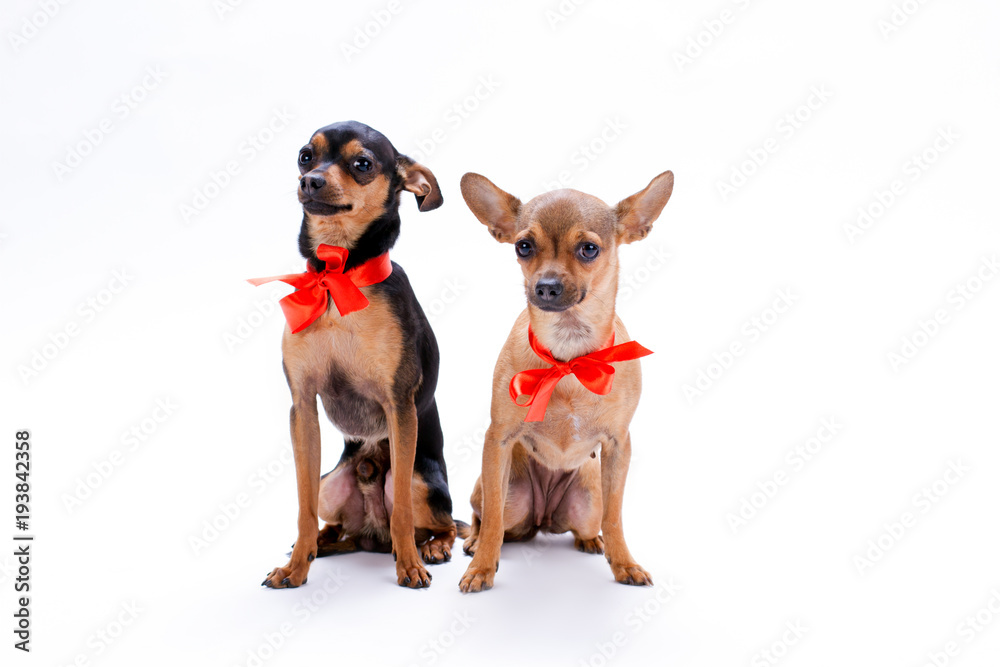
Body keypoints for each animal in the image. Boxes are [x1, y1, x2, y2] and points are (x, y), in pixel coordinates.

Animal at [254, 121, 464, 588]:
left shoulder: (399, 406)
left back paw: (432, 547)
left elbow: (402, 510)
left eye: (362, 164)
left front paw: (410, 567)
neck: (339, 277)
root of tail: (370, 535)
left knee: (443, 521)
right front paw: (296, 567)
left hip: (425, 482)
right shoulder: (303, 407)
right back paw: (320, 544)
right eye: (305, 156)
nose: (310, 181)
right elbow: (302, 506)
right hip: (331, 483)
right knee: (334, 524)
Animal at [458, 170, 676, 592]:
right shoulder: (498, 441)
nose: (545, 286)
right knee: (486, 516)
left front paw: (623, 562)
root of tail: (542, 520)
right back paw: (474, 542)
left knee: (591, 521)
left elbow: (615, 515)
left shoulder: (618, 447)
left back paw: (592, 541)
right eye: (523, 247)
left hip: (587, 497)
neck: (569, 355)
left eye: (589, 249)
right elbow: (492, 520)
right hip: (509, 494)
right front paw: (481, 567)